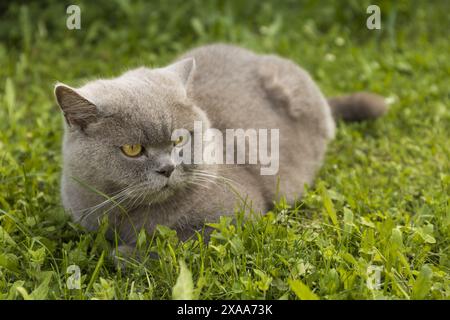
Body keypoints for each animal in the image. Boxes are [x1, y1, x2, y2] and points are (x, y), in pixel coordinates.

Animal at [54, 43, 386, 252]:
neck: (128, 215)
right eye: (133, 149)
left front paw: (124, 255)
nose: (167, 168)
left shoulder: (238, 214)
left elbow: (178, 241)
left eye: (179, 140)